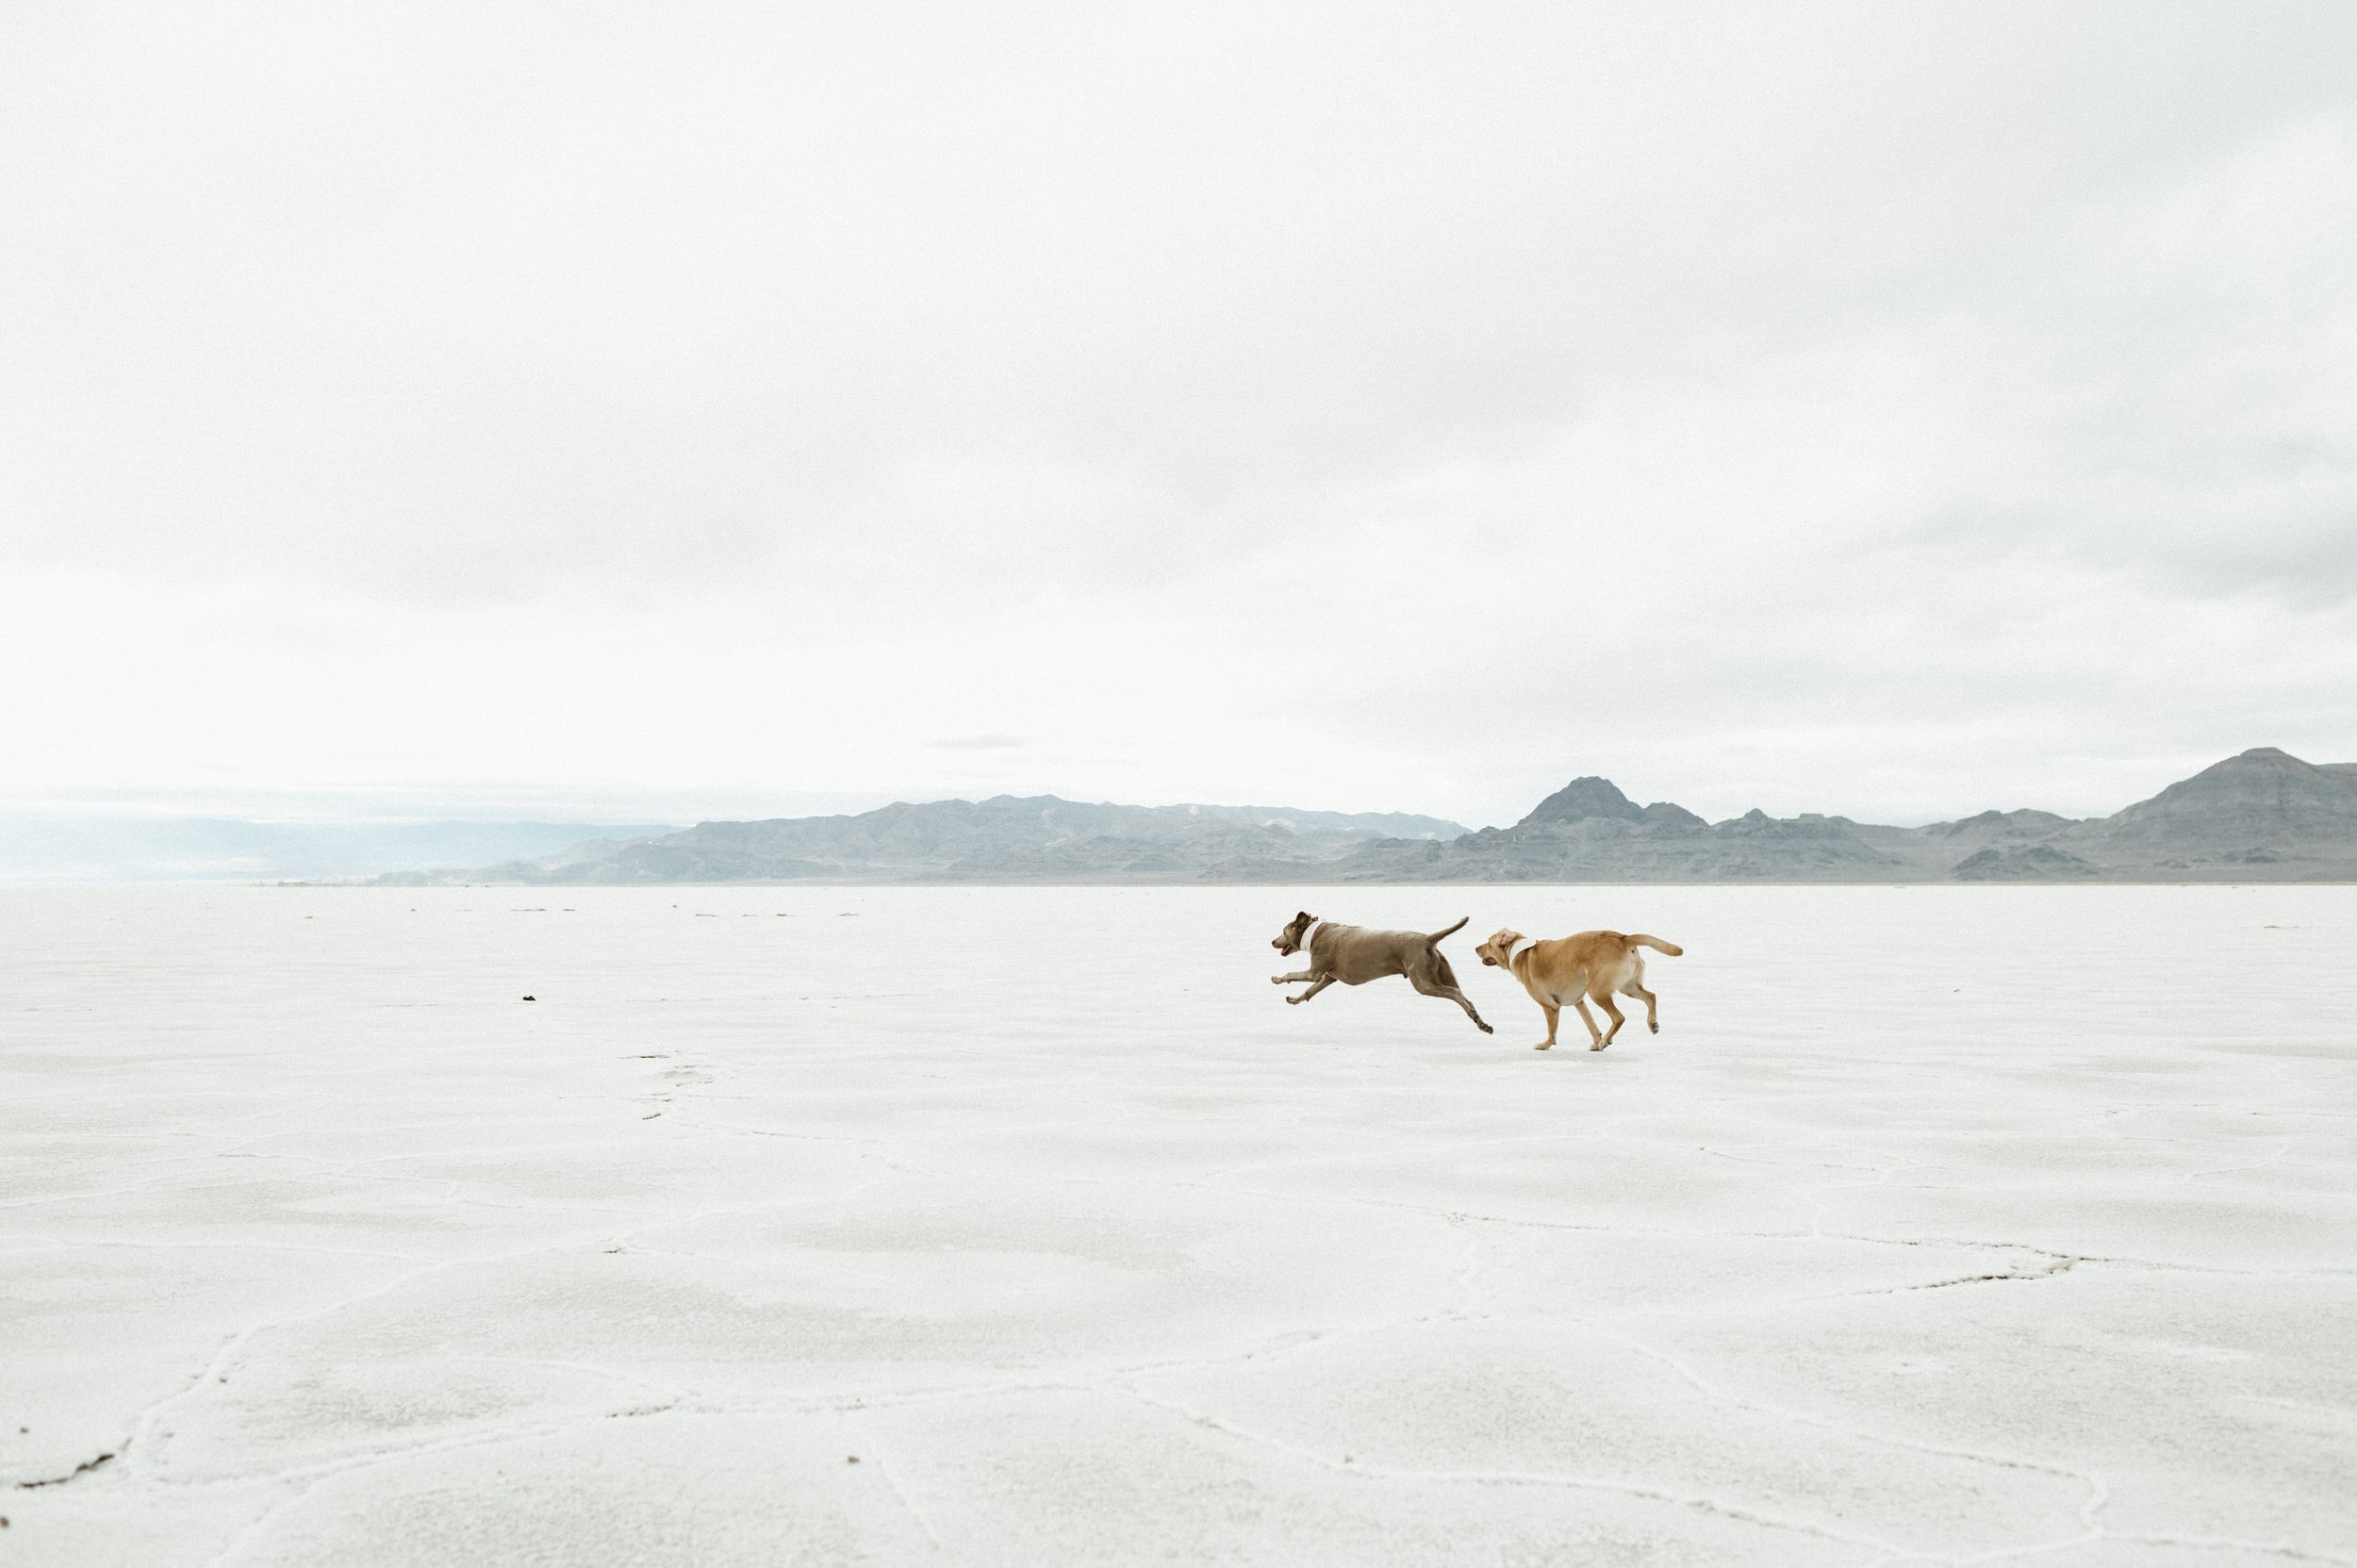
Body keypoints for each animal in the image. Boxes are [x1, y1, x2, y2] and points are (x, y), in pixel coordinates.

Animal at [1273, 910, 1490, 1032]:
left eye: (1283, 932)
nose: (1272, 941)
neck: (1313, 933)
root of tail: (1428, 939)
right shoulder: (1328, 977)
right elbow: (1310, 991)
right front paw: (1295, 999)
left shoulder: (1315, 972)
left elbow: (1293, 975)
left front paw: (1277, 978)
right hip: (1442, 973)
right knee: (1465, 996)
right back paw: (1481, 1022)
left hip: (1423, 981)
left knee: (1454, 993)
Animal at [1461, 929, 1688, 1051]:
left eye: (1488, 942)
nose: (1475, 948)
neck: (1521, 952)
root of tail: (1623, 938)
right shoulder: (1579, 1002)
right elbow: (1591, 1025)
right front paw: (1596, 1042)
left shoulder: (1550, 1006)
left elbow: (1552, 1031)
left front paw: (1545, 1044)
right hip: (1628, 986)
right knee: (1651, 996)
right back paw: (1652, 1024)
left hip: (1597, 990)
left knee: (1619, 1017)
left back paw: (1606, 1039)